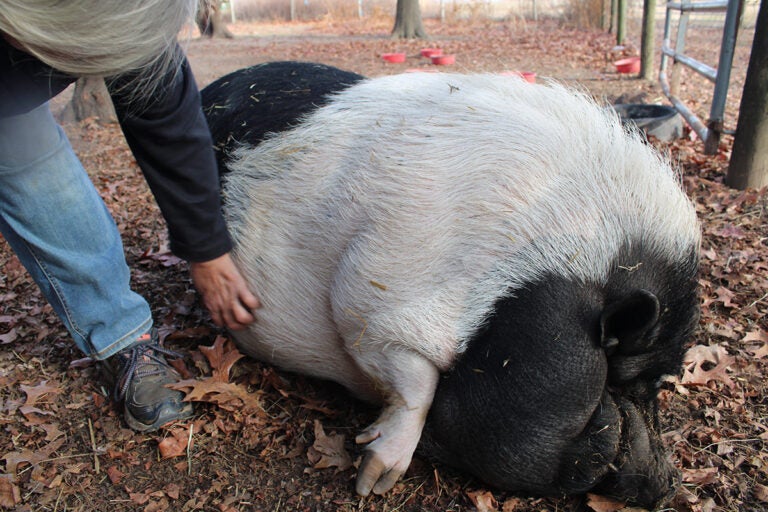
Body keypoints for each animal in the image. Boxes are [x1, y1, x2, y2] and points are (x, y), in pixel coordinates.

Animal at [200, 62, 704, 506]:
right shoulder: (375, 294)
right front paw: (373, 482)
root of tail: (211, 88)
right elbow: (412, 382)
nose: (669, 486)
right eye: (631, 383)